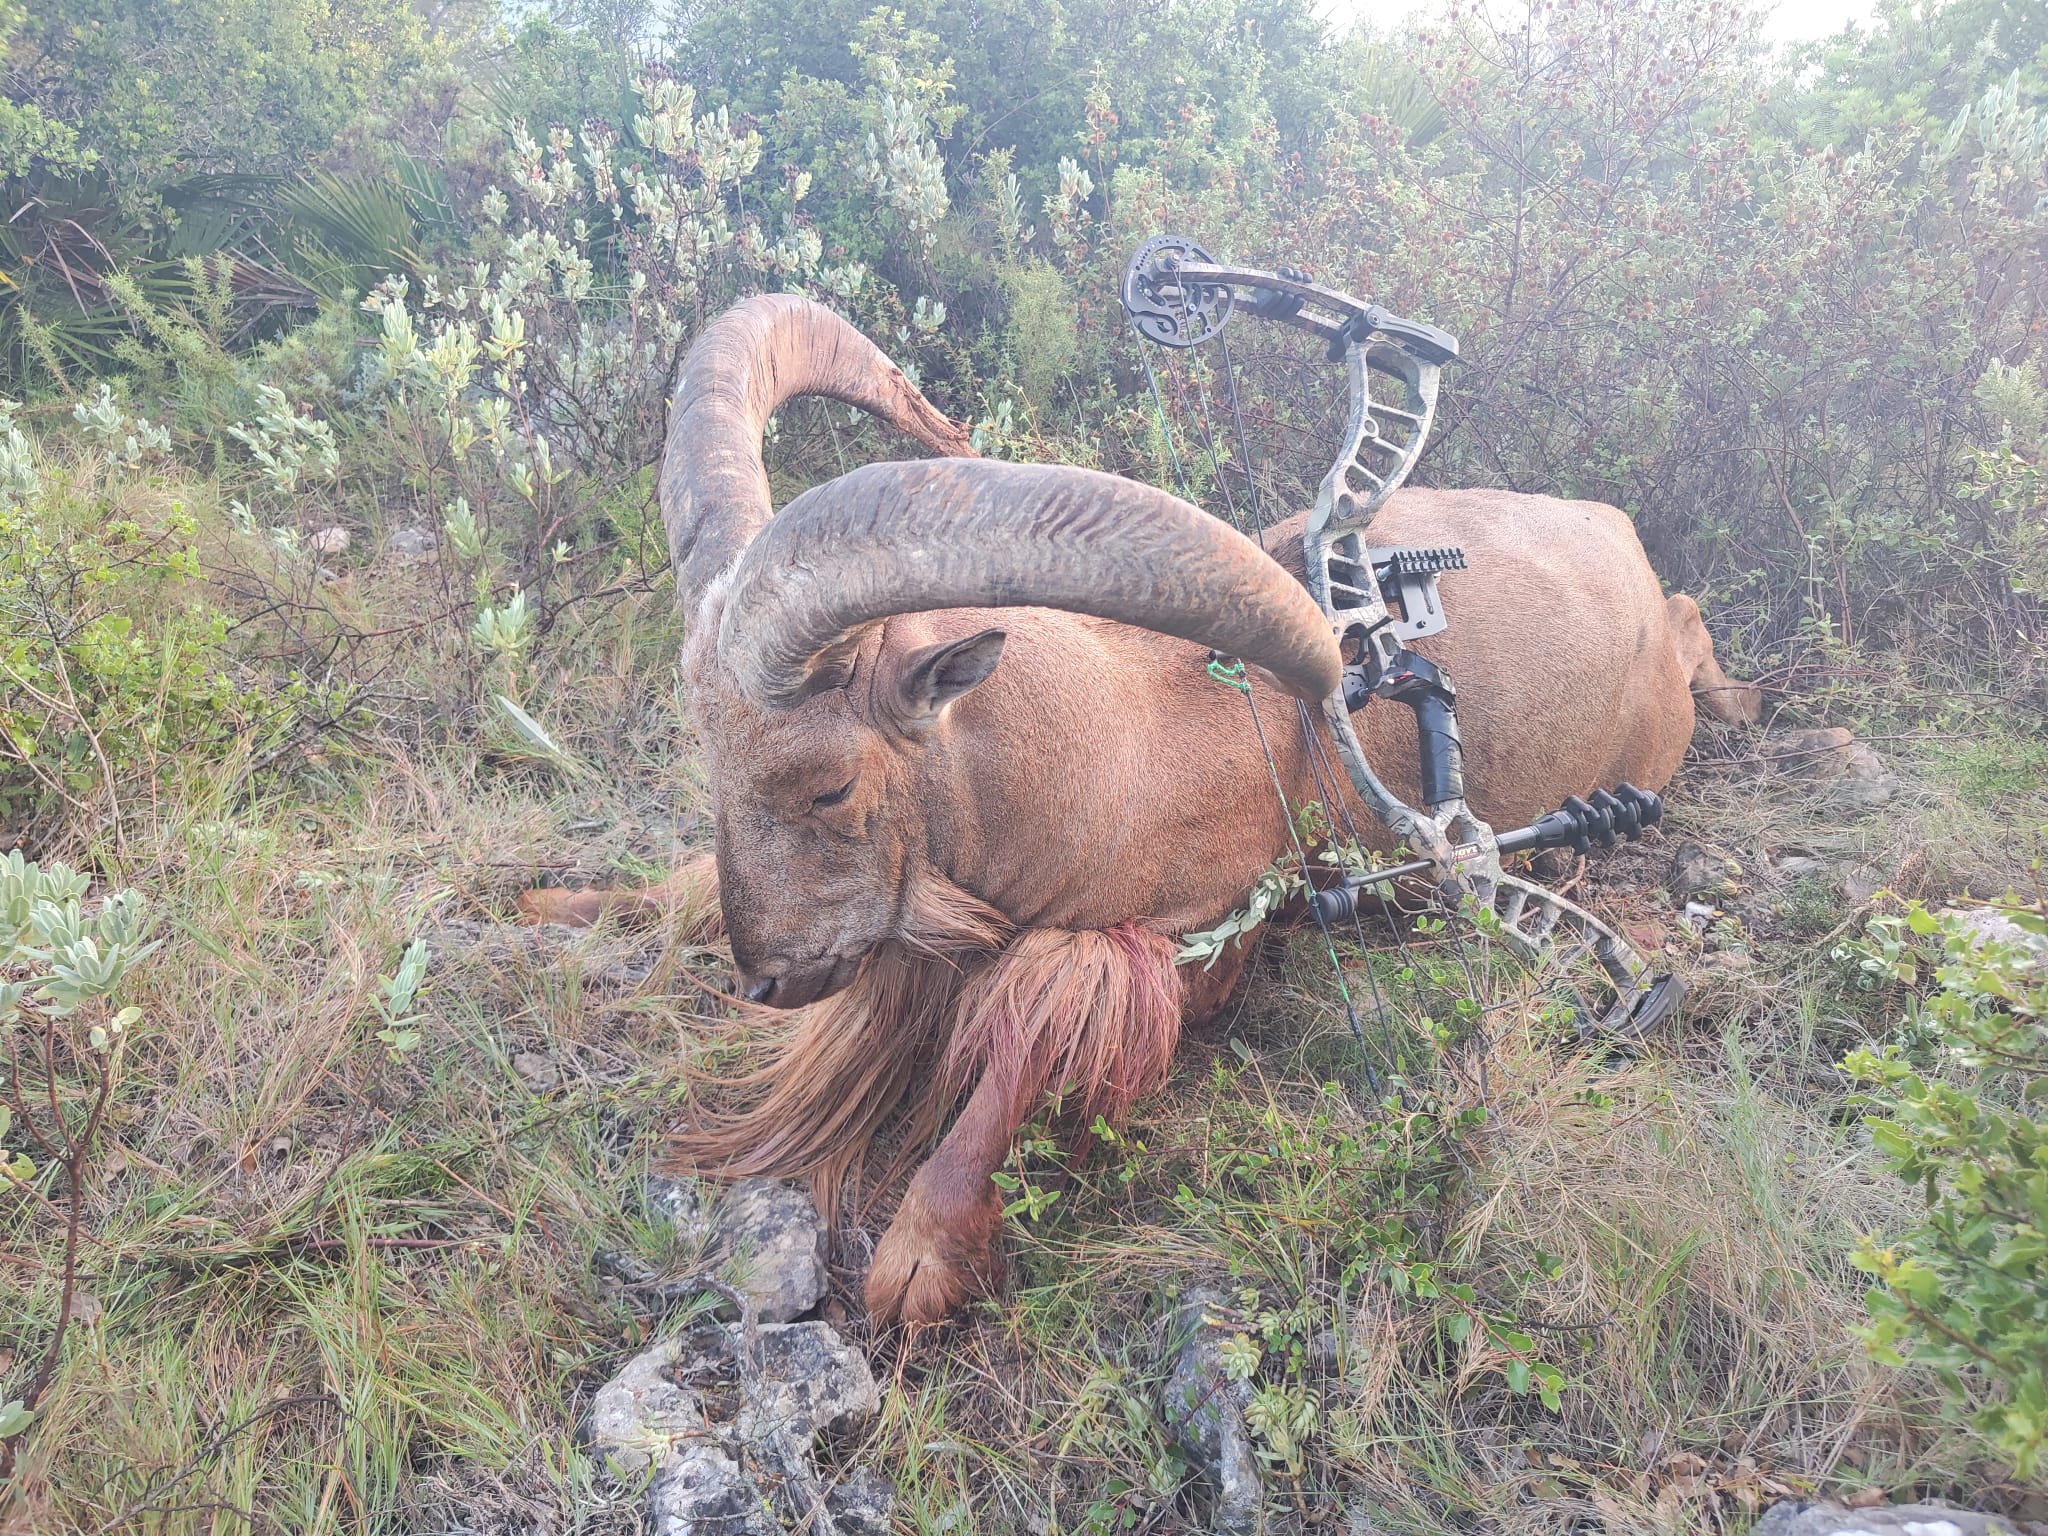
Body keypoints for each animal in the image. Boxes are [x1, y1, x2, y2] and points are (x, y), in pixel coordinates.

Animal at [526, 294, 1761, 1324]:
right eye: (706, 754)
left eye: (828, 783)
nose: (767, 982)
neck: (1090, 747)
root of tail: (1623, 536)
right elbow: (669, 887)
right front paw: (554, 896)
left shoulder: (1190, 935)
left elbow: (1022, 1059)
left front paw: (917, 1264)